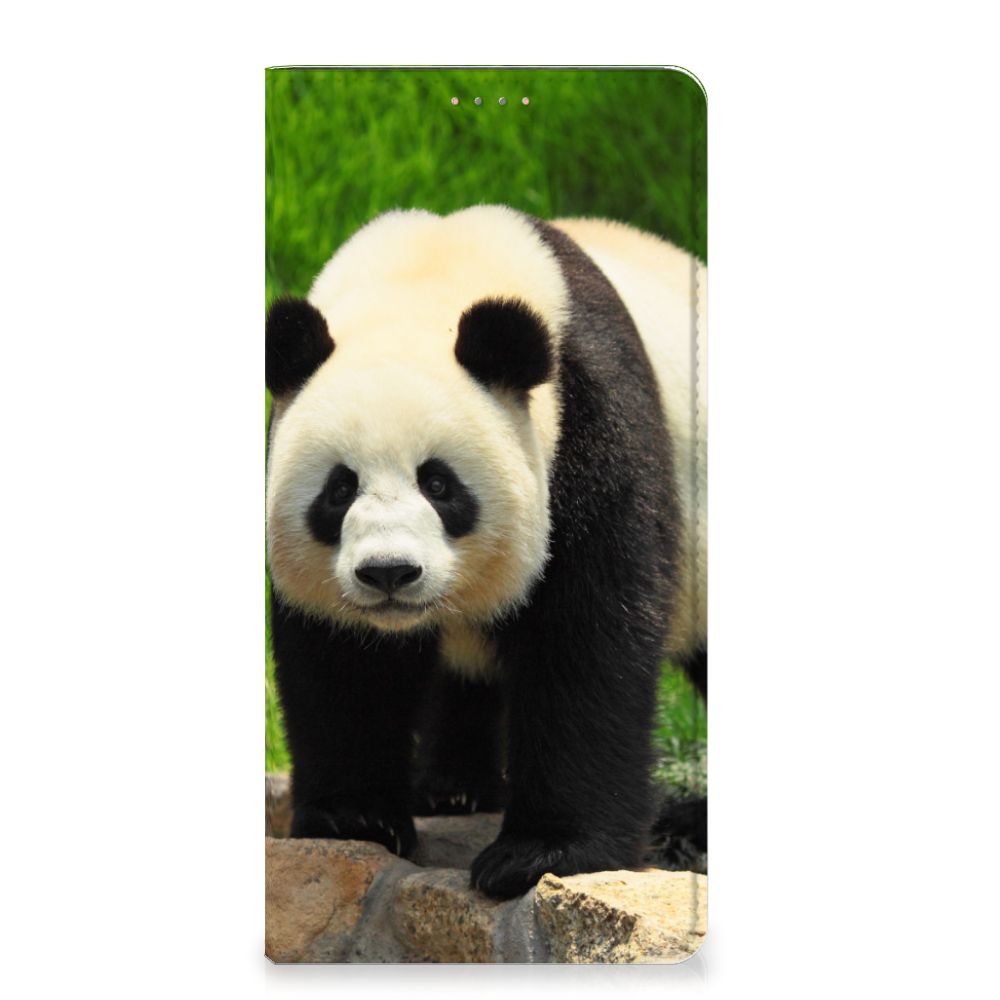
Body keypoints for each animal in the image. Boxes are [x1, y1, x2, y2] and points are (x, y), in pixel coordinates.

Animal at [265, 205, 706, 900]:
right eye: (339, 489)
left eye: (439, 484)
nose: (389, 573)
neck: (426, 278)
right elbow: (342, 662)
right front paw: (353, 818)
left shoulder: (591, 424)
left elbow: (587, 635)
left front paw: (541, 853)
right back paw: (452, 788)